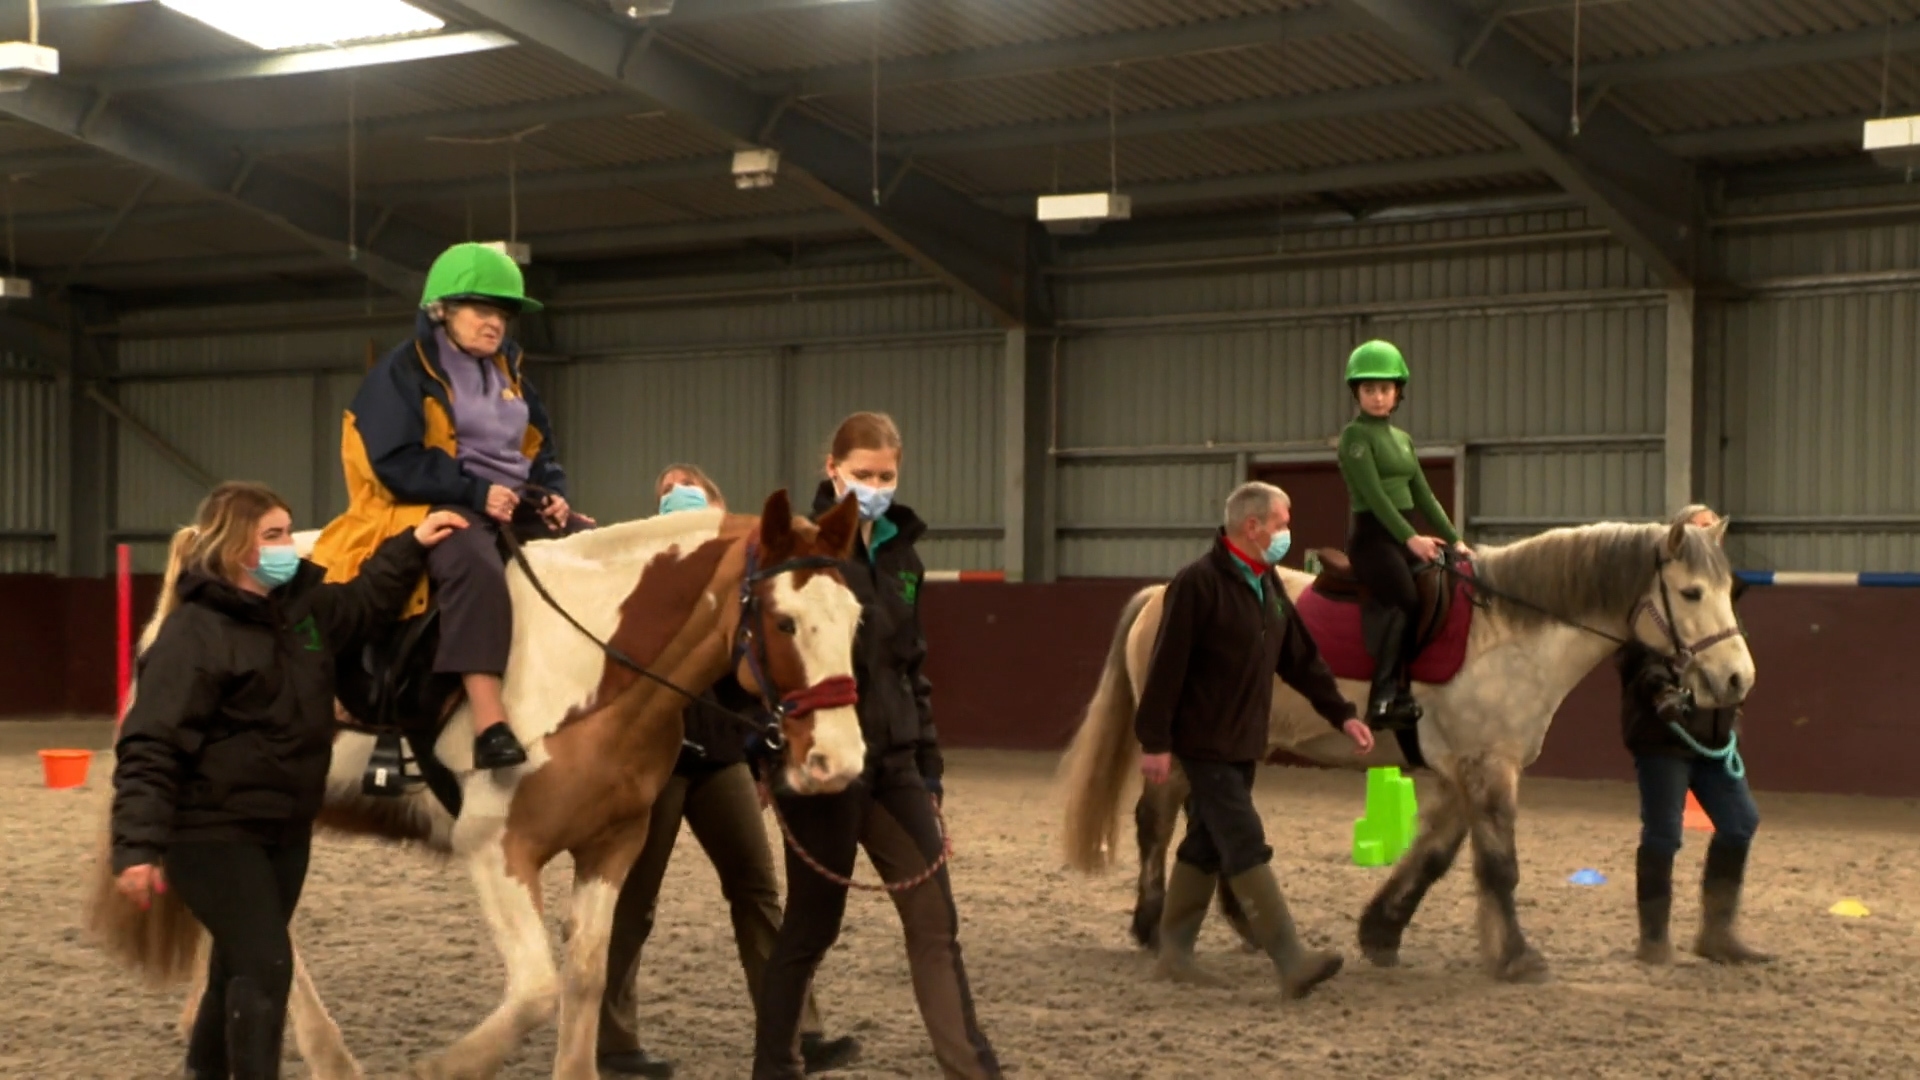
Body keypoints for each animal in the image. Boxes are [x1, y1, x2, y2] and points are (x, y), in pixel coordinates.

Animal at [86, 490, 867, 1076]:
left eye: (857, 618)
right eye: (782, 621)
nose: (839, 761)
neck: (586, 667)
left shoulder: (613, 844)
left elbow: (583, 977)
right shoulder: (497, 850)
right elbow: (536, 991)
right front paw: (438, 1069)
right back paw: (331, 1058)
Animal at [1067, 518, 1758, 980]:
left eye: (1730, 589)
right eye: (1692, 593)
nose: (1736, 680)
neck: (1506, 632)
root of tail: (1162, 592)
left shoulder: (1459, 770)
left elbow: (1433, 855)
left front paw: (1380, 931)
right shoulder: (1489, 767)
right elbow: (1498, 865)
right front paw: (1517, 957)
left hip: (1234, 744)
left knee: (1209, 826)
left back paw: (1245, 928)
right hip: (1183, 747)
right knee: (1156, 823)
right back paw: (1152, 923)